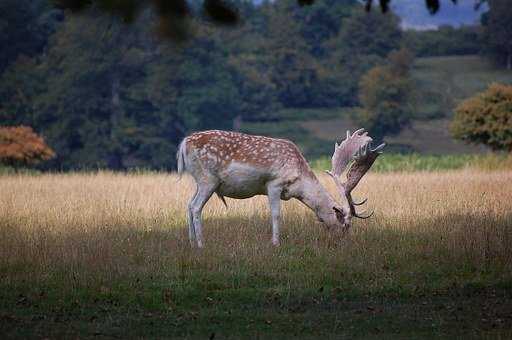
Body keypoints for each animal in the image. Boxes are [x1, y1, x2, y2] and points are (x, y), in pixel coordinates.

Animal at [176, 127, 384, 247]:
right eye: (346, 225)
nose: (348, 243)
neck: (299, 181)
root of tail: (184, 143)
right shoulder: (274, 184)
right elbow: (276, 214)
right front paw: (276, 243)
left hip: (199, 181)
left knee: (188, 204)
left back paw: (191, 242)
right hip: (208, 179)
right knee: (196, 207)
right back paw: (201, 244)